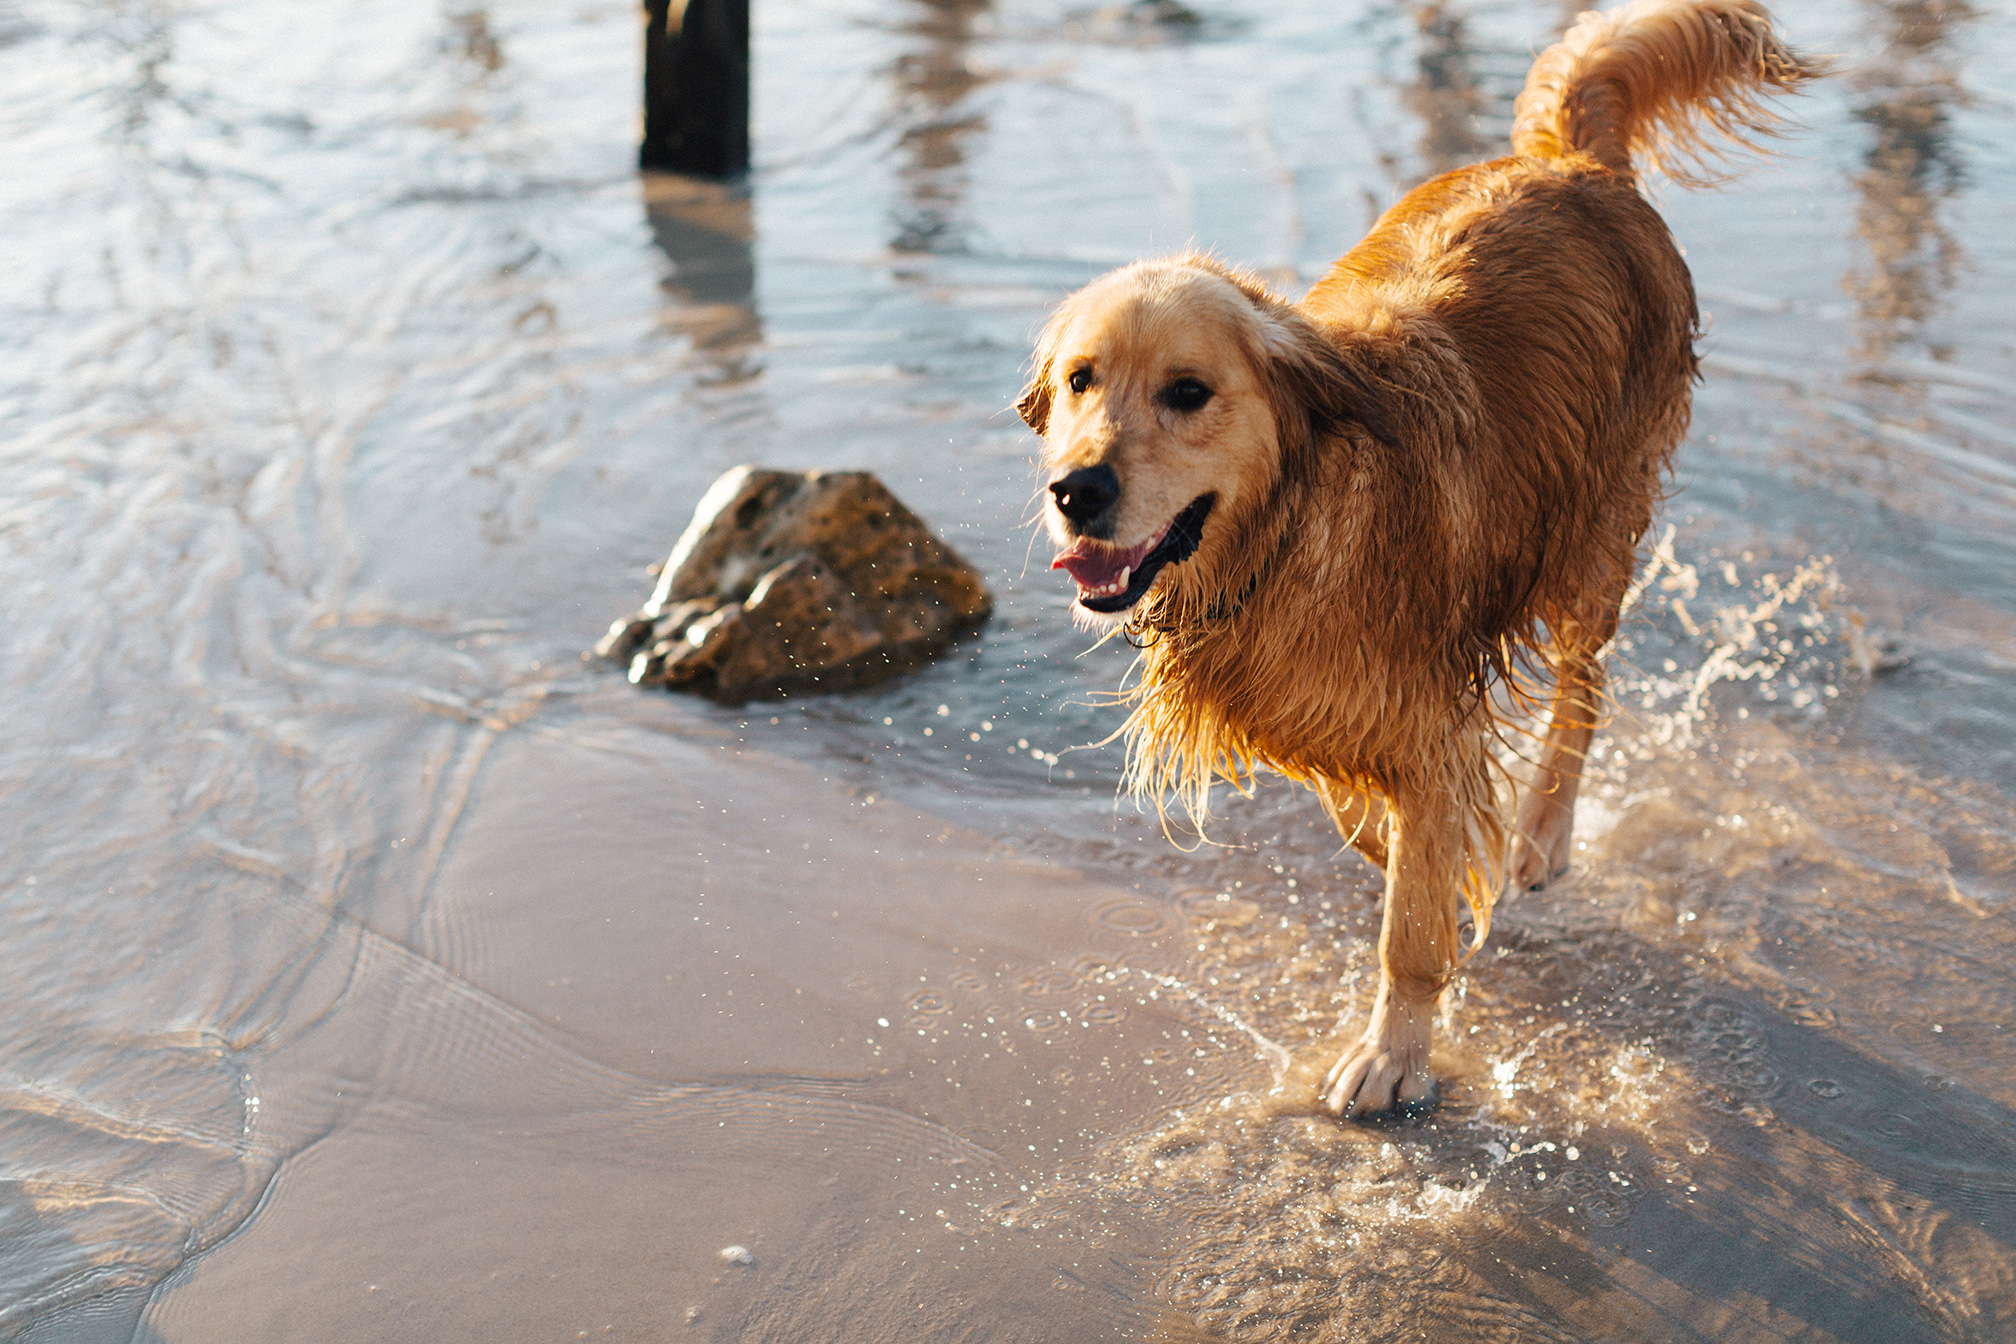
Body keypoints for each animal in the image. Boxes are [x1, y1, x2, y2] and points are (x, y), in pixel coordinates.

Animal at [1016, 0, 1822, 1112]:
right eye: (1080, 380)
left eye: (1188, 391)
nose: (1076, 491)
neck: (1289, 533)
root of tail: (1572, 164)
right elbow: (1376, 821)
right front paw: (1404, 847)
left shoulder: (1435, 712)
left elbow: (1410, 918)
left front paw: (1393, 1053)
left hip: (1593, 527)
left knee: (1585, 689)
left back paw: (1543, 833)